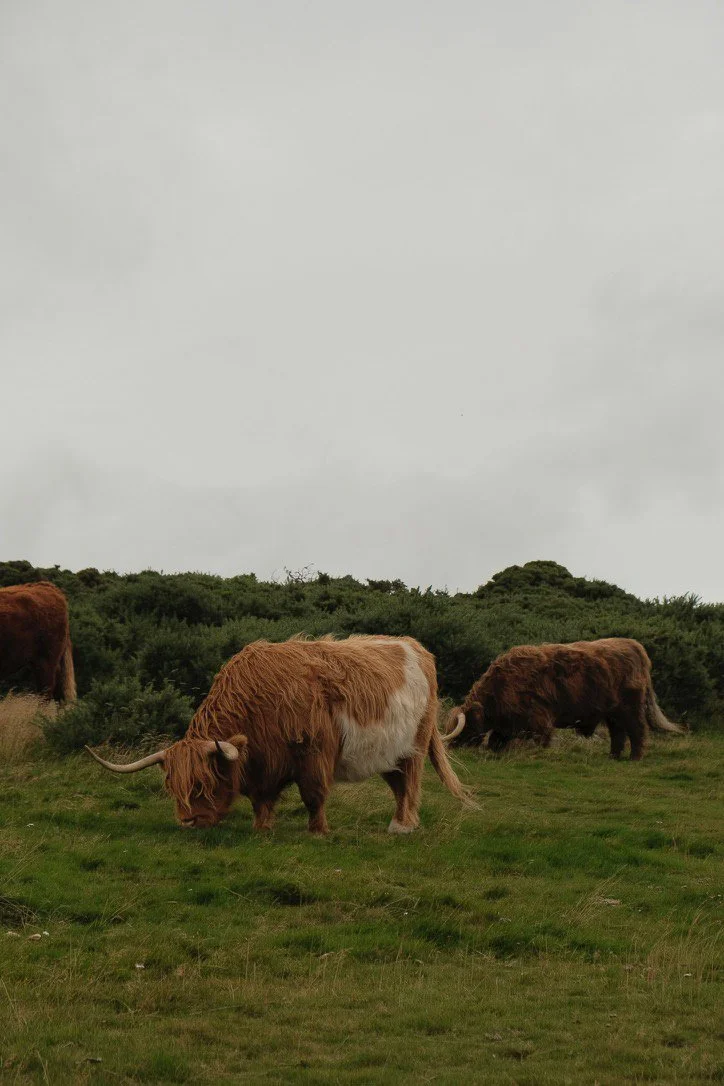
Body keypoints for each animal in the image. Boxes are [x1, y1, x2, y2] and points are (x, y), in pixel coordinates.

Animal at [86, 635, 474, 834]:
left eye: (204, 783)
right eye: (172, 786)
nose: (188, 821)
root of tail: (416, 647)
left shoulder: (314, 753)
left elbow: (314, 795)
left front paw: (318, 831)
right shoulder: (264, 763)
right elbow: (261, 799)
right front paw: (262, 827)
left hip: (414, 745)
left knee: (409, 784)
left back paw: (402, 827)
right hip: (387, 752)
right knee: (397, 785)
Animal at [445, 637, 684, 761]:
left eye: (464, 727)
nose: (451, 747)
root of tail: (635, 646)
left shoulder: (538, 718)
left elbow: (540, 739)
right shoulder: (508, 724)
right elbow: (496, 741)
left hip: (630, 707)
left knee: (637, 730)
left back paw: (634, 757)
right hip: (612, 712)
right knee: (618, 733)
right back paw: (613, 756)